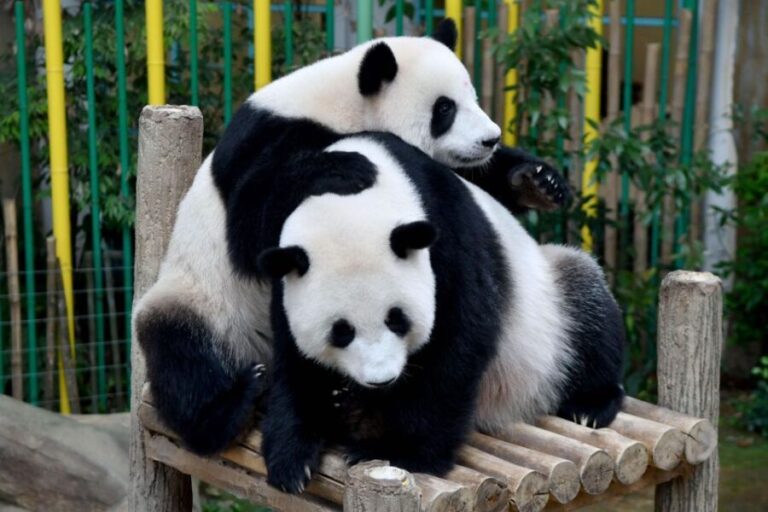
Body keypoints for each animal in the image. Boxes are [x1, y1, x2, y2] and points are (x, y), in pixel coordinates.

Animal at [135, 20, 572, 457]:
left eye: (473, 97)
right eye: (444, 109)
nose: (490, 139)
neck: (342, 101)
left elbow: (475, 178)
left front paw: (538, 182)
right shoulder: (267, 138)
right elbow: (249, 225)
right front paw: (344, 167)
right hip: (204, 301)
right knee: (181, 354)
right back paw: (229, 408)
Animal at [256, 133, 625, 493]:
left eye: (397, 319)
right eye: (341, 331)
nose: (381, 380)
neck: (349, 199)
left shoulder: (446, 235)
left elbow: (457, 344)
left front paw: (402, 451)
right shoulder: (283, 270)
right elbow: (295, 359)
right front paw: (291, 457)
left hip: (551, 308)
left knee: (587, 302)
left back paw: (591, 404)